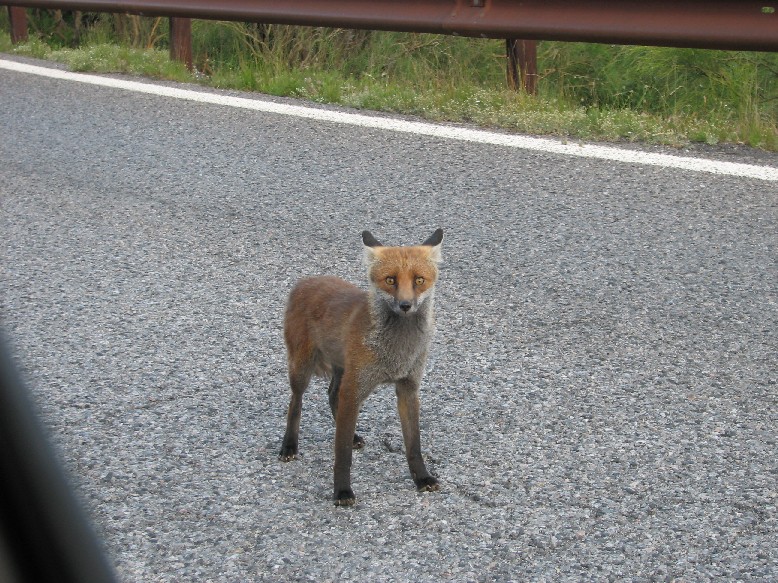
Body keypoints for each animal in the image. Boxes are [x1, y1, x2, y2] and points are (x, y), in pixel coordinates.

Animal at [282, 228, 446, 506]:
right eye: (390, 280)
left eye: (419, 280)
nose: (405, 305)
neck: (396, 351)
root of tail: (305, 281)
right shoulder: (355, 387)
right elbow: (342, 454)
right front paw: (342, 491)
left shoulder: (408, 388)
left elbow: (414, 446)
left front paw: (422, 478)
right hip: (304, 369)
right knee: (296, 402)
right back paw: (289, 446)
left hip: (342, 370)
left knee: (331, 395)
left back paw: (352, 435)